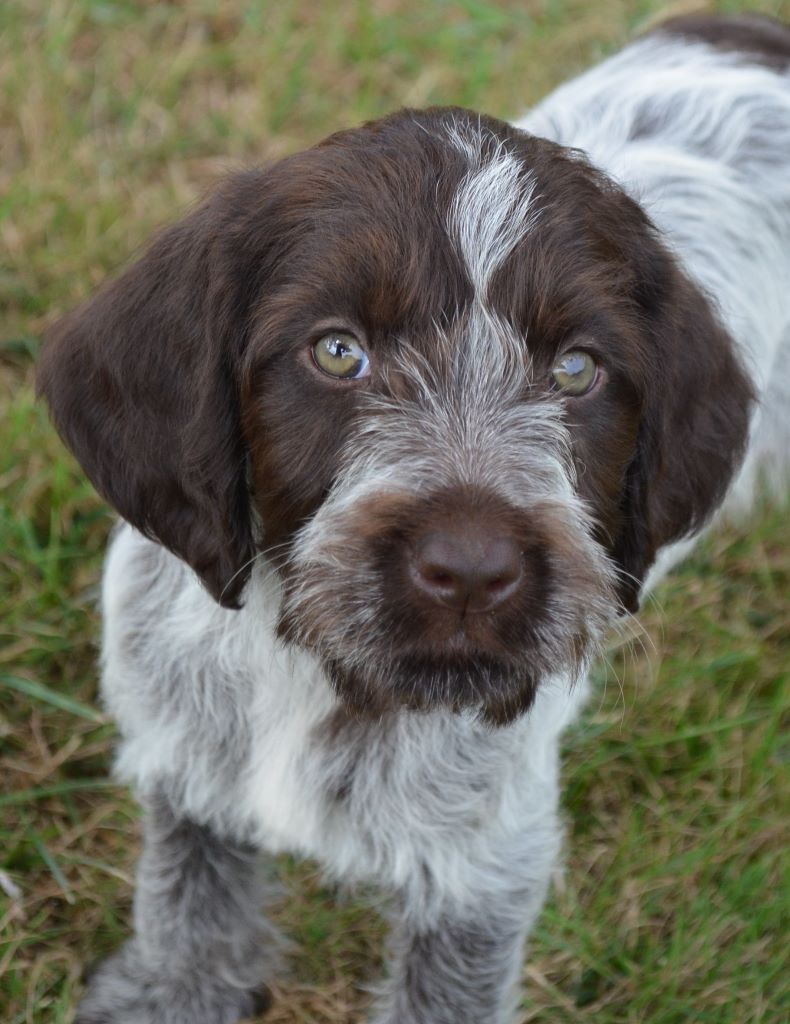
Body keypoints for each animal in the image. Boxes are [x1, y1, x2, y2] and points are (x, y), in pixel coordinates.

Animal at [37, 13, 790, 1024]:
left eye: (577, 369)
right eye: (337, 351)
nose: (471, 571)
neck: (317, 669)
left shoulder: (484, 868)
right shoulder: (183, 757)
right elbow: (187, 906)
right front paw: (175, 990)